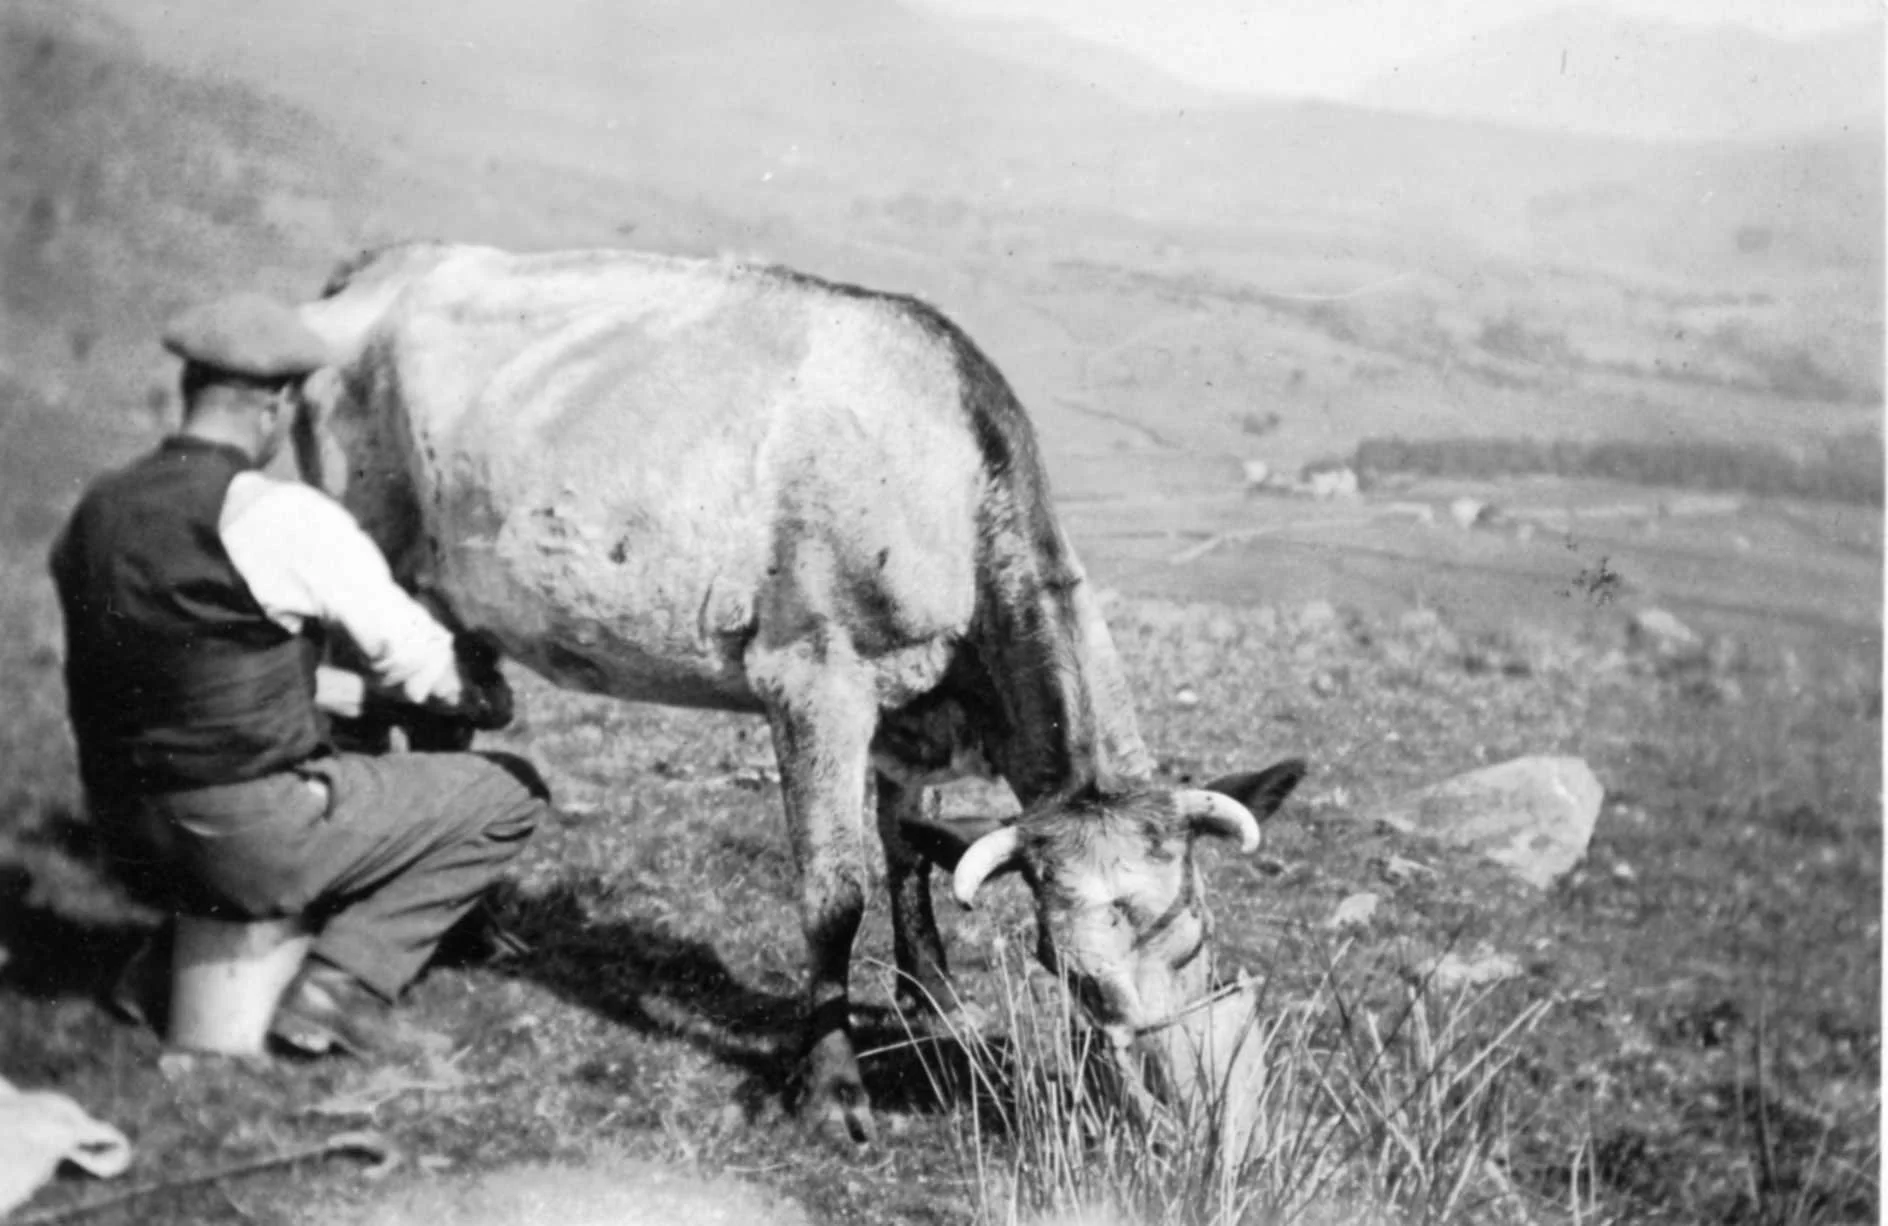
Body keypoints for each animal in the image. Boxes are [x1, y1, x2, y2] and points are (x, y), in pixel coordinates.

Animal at [291, 242, 1305, 1142]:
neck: (946, 481)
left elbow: (907, 850)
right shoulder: (814, 678)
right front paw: (831, 1091)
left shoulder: (907, 709)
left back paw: (470, 935)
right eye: (1073, 976)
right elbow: (835, 895)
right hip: (357, 541)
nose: (1193, 1126)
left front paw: (935, 996)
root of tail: (379, 266)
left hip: (447, 596)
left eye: (1197, 938)